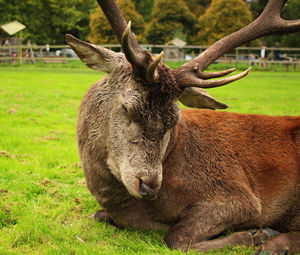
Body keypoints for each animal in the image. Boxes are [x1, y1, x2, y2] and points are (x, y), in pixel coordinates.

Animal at [65, 0, 300, 254]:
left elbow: (176, 238)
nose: (149, 186)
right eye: (127, 108)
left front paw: (258, 234)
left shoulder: (240, 196)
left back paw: (273, 243)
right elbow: (97, 215)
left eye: (174, 120)